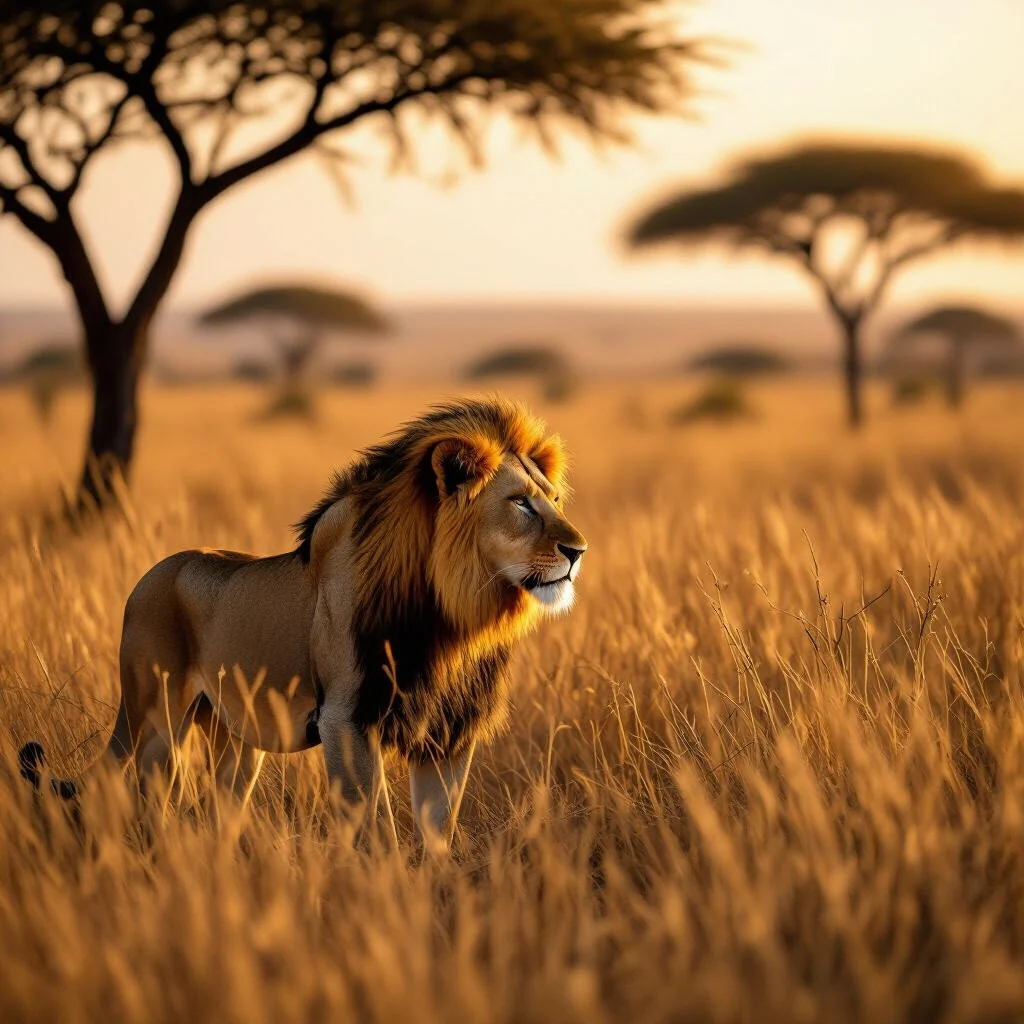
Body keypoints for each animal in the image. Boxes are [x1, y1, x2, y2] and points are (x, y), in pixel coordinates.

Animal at [20, 397, 588, 844]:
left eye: (556, 499)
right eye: (520, 503)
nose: (578, 550)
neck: (453, 618)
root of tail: (146, 579)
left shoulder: (448, 732)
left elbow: (437, 834)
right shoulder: (346, 718)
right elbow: (374, 830)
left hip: (235, 742)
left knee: (218, 811)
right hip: (155, 722)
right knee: (140, 803)